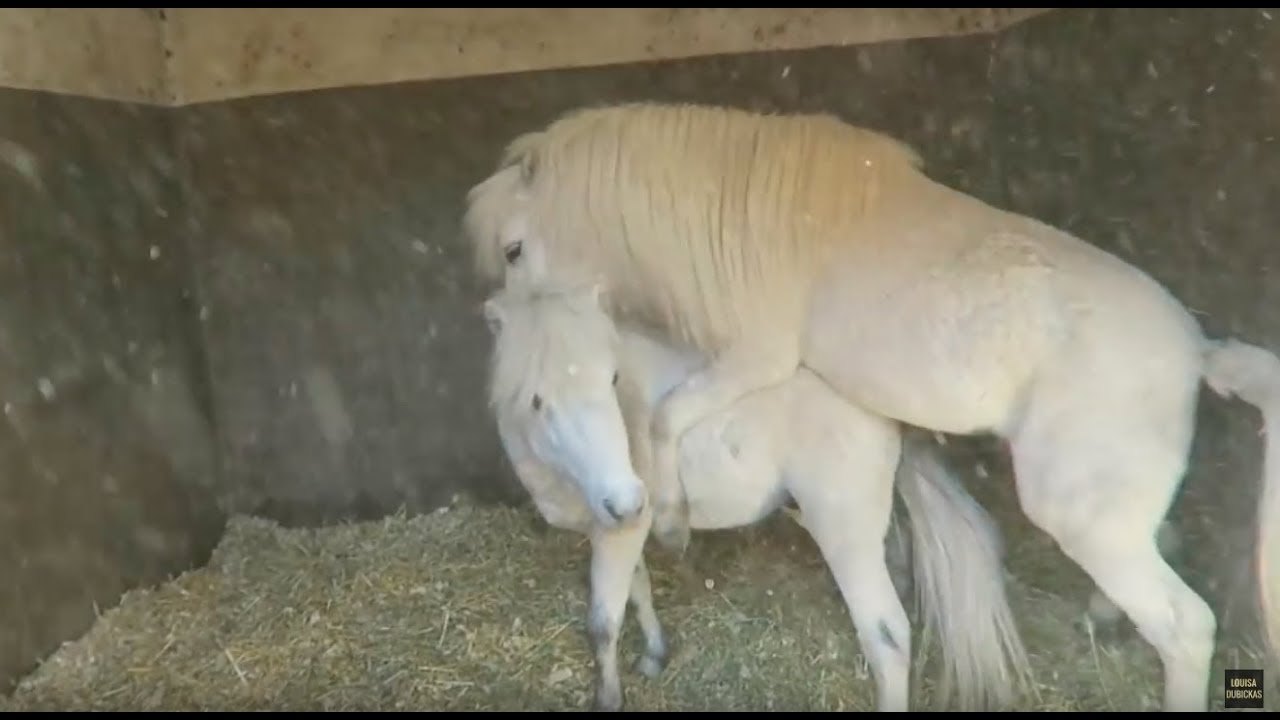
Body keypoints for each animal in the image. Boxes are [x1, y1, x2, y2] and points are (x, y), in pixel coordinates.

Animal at [481, 283, 1029, 707]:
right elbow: (637, 590)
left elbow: (603, 621)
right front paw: (655, 653)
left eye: (612, 378)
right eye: (535, 400)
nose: (626, 496)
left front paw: (610, 697)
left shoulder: (623, 527)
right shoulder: (613, 525)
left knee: (888, 635)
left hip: (843, 528)